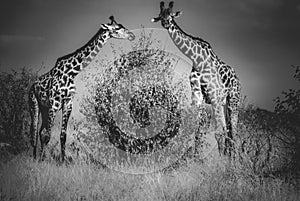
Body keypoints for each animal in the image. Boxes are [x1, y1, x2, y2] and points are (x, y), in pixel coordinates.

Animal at [29, 15, 135, 161]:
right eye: (117, 29)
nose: (132, 35)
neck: (71, 72)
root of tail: (32, 86)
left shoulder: (68, 103)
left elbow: (63, 136)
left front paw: (63, 161)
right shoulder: (54, 103)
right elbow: (47, 135)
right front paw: (41, 161)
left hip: (44, 108)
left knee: (39, 132)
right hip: (35, 104)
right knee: (34, 132)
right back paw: (35, 158)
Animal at [152, 1, 241, 157]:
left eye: (171, 15)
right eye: (160, 15)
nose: (165, 23)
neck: (197, 58)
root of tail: (237, 78)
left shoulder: (214, 95)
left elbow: (218, 132)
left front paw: (220, 160)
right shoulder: (197, 95)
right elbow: (197, 130)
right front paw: (195, 158)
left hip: (233, 100)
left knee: (233, 131)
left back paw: (232, 158)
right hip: (223, 102)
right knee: (228, 129)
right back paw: (228, 155)